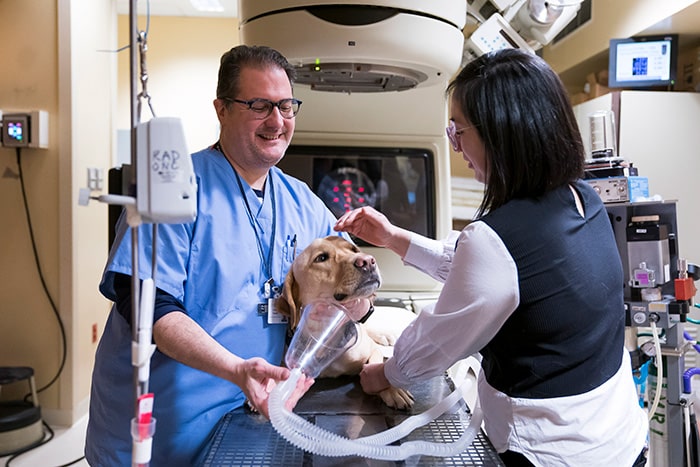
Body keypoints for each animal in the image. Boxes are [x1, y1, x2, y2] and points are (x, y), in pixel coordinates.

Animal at [274, 236, 416, 408]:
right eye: (321, 258)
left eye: (353, 250)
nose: (368, 261)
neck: (326, 334)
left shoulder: (373, 350)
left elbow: (377, 365)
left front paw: (391, 389)